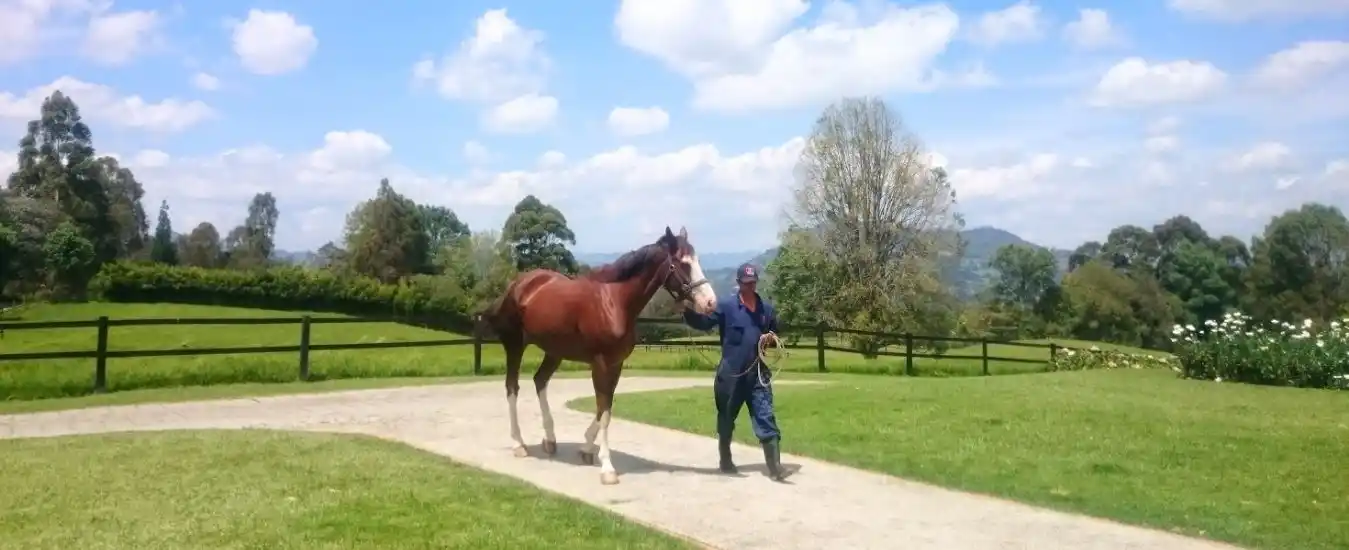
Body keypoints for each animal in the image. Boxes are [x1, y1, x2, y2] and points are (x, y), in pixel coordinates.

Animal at [476, 226, 718, 485]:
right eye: (682, 263)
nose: (710, 303)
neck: (614, 302)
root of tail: (518, 284)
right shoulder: (600, 364)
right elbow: (604, 412)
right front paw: (607, 469)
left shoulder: (615, 364)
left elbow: (605, 409)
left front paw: (586, 448)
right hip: (515, 346)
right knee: (512, 387)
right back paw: (519, 444)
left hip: (555, 351)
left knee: (539, 381)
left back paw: (550, 439)